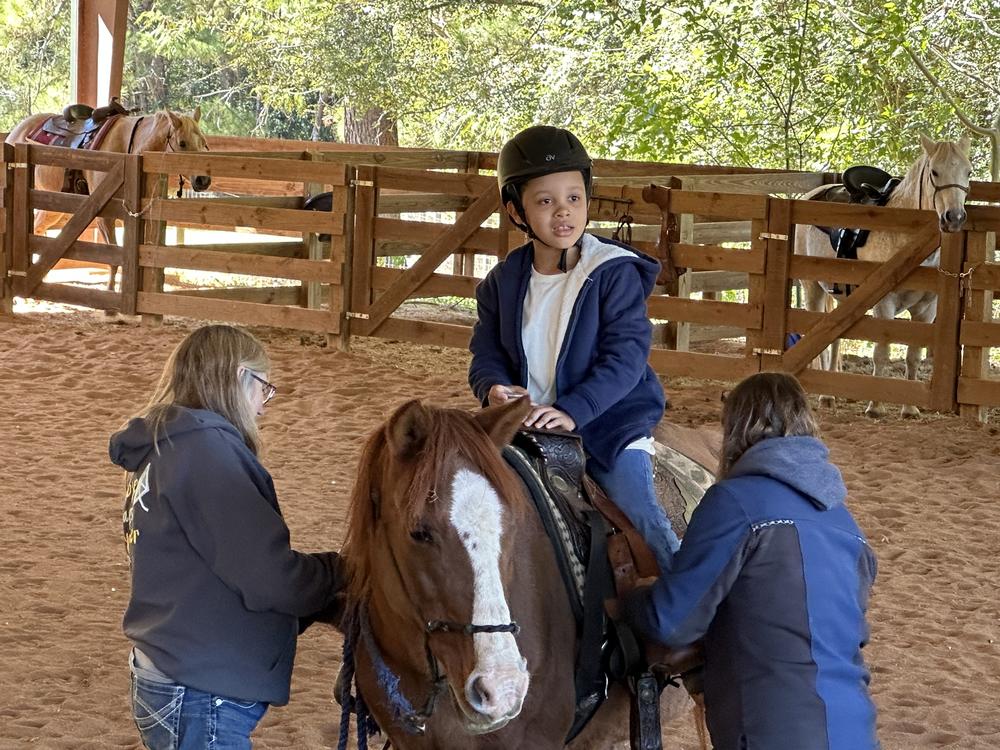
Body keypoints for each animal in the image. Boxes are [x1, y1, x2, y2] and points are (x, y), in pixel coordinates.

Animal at [4, 108, 212, 294]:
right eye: (182, 143)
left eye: (203, 142)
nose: (203, 180)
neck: (129, 148)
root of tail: (16, 131)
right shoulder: (106, 216)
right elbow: (113, 257)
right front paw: (111, 300)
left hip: (51, 207)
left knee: (37, 230)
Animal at [796, 134, 968, 418]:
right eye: (934, 172)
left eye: (968, 172)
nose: (954, 217)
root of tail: (811, 194)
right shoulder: (884, 303)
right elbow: (882, 352)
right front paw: (875, 406)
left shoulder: (926, 309)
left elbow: (913, 356)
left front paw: (910, 408)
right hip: (812, 288)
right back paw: (824, 394)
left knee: (833, 340)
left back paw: (832, 393)